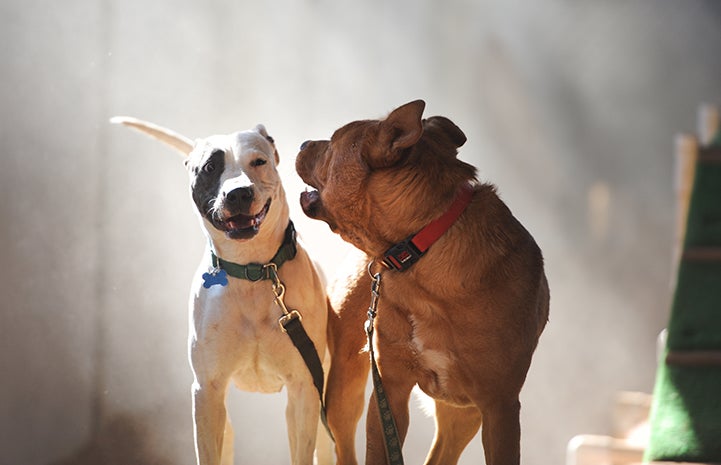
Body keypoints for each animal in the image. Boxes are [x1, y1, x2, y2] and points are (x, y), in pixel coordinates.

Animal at [111, 118, 334, 464]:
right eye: (210, 167)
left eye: (259, 161)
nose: (239, 193)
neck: (253, 272)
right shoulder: (207, 391)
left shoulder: (303, 389)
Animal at [296, 100, 548, 464]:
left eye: (332, 144)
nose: (302, 144)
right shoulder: (390, 389)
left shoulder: (499, 407)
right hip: (346, 384)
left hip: (464, 414)